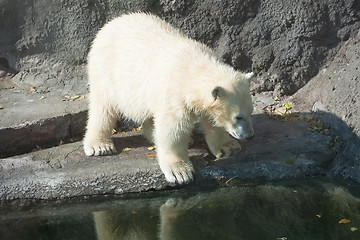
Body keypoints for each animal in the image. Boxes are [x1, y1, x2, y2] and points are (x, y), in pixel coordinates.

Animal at [83, 12, 255, 186]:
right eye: (238, 117)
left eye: (250, 112)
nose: (250, 136)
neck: (193, 67)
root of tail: (111, 23)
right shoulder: (174, 94)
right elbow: (173, 129)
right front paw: (180, 172)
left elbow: (212, 120)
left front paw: (228, 146)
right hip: (107, 72)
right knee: (103, 107)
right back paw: (100, 145)